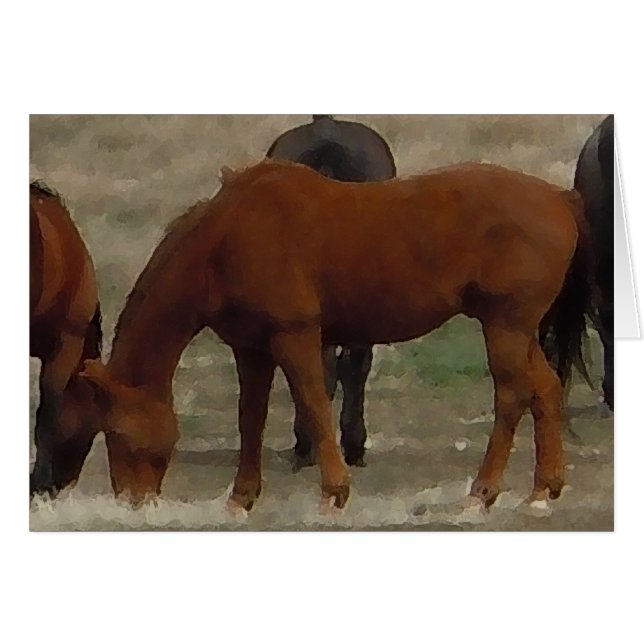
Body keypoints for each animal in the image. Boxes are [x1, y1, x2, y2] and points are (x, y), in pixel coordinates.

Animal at [64, 159, 588, 513]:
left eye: (115, 433)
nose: (131, 501)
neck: (227, 240)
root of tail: (559, 198)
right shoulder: (250, 349)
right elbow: (250, 418)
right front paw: (242, 498)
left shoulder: (294, 337)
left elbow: (314, 406)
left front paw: (333, 492)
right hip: (516, 330)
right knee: (545, 390)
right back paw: (542, 489)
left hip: (505, 326)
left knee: (511, 397)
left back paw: (483, 492)